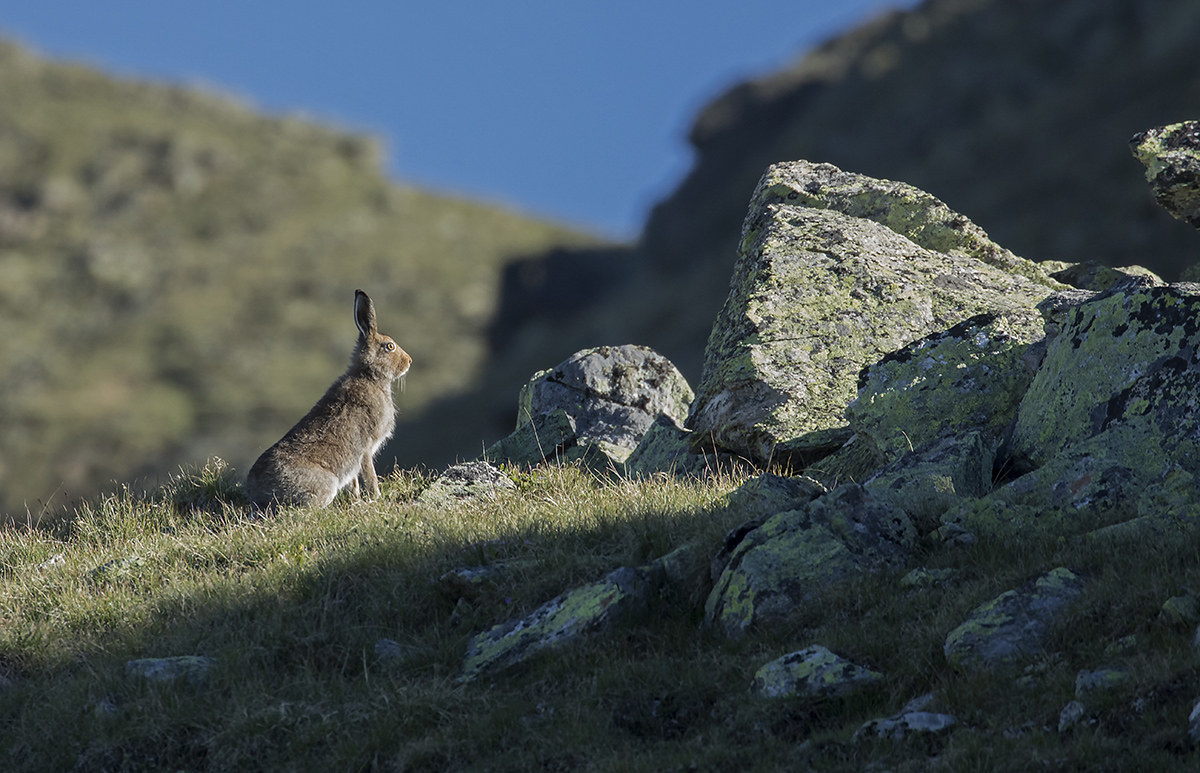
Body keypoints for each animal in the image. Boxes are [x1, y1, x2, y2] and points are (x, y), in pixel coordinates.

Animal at [245, 289, 412, 509]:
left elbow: (354, 481)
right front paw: (376, 498)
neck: (368, 375)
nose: (409, 361)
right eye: (389, 346)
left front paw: (356, 499)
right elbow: (370, 475)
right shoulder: (366, 449)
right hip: (325, 485)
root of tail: (255, 490)